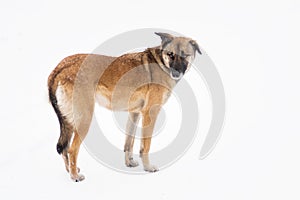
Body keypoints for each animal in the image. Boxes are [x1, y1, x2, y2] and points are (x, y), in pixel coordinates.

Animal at [47, 32, 202, 181]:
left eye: (185, 55)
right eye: (170, 54)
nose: (175, 73)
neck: (161, 63)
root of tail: (61, 66)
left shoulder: (134, 114)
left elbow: (129, 143)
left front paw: (129, 163)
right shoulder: (149, 114)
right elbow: (145, 146)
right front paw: (148, 167)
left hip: (69, 121)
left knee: (64, 148)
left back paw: (70, 171)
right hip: (84, 118)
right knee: (72, 149)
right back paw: (75, 176)